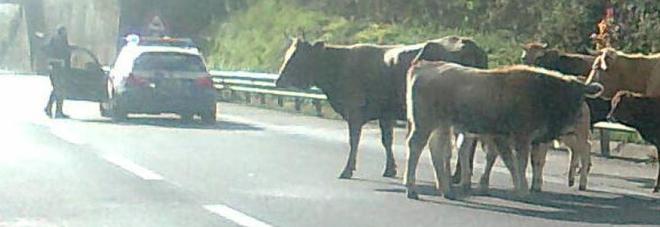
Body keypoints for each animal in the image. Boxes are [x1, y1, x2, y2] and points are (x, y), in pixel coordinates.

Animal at [276, 36, 488, 180]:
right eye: (287, 55)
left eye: (296, 57)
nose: (278, 81)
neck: (340, 63)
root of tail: (465, 41)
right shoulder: (385, 114)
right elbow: (387, 140)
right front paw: (390, 169)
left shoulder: (354, 111)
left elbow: (354, 141)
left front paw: (347, 170)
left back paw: (457, 176)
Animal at [402, 59, 604, 199]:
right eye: (572, 96)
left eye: (580, 96)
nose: (580, 117)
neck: (540, 91)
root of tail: (424, 65)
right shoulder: (521, 137)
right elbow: (519, 163)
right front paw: (523, 190)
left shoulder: (505, 137)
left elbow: (510, 161)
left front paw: (518, 187)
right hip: (424, 123)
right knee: (415, 146)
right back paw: (411, 188)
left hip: (440, 125)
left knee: (436, 150)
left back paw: (446, 190)